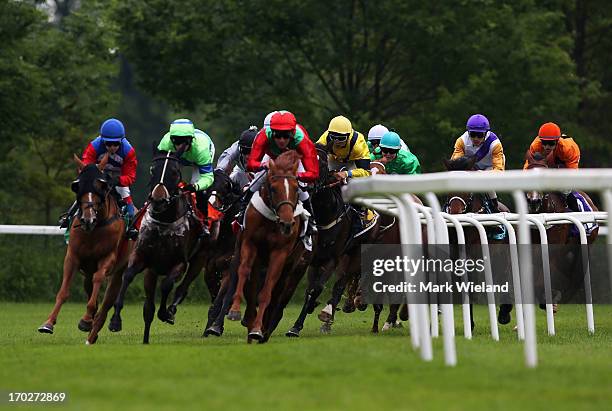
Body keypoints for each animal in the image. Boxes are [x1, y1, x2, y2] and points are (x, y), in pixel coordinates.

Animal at [38, 154, 131, 338]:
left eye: (101, 185)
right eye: (77, 185)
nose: (88, 219)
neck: (95, 228)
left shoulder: (108, 258)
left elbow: (99, 279)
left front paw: (87, 319)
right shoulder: (73, 256)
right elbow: (63, 292)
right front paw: (48, 323)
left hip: (120, 268)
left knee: (111, 294)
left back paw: (107, 322)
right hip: (87, 268)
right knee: (90, 287)